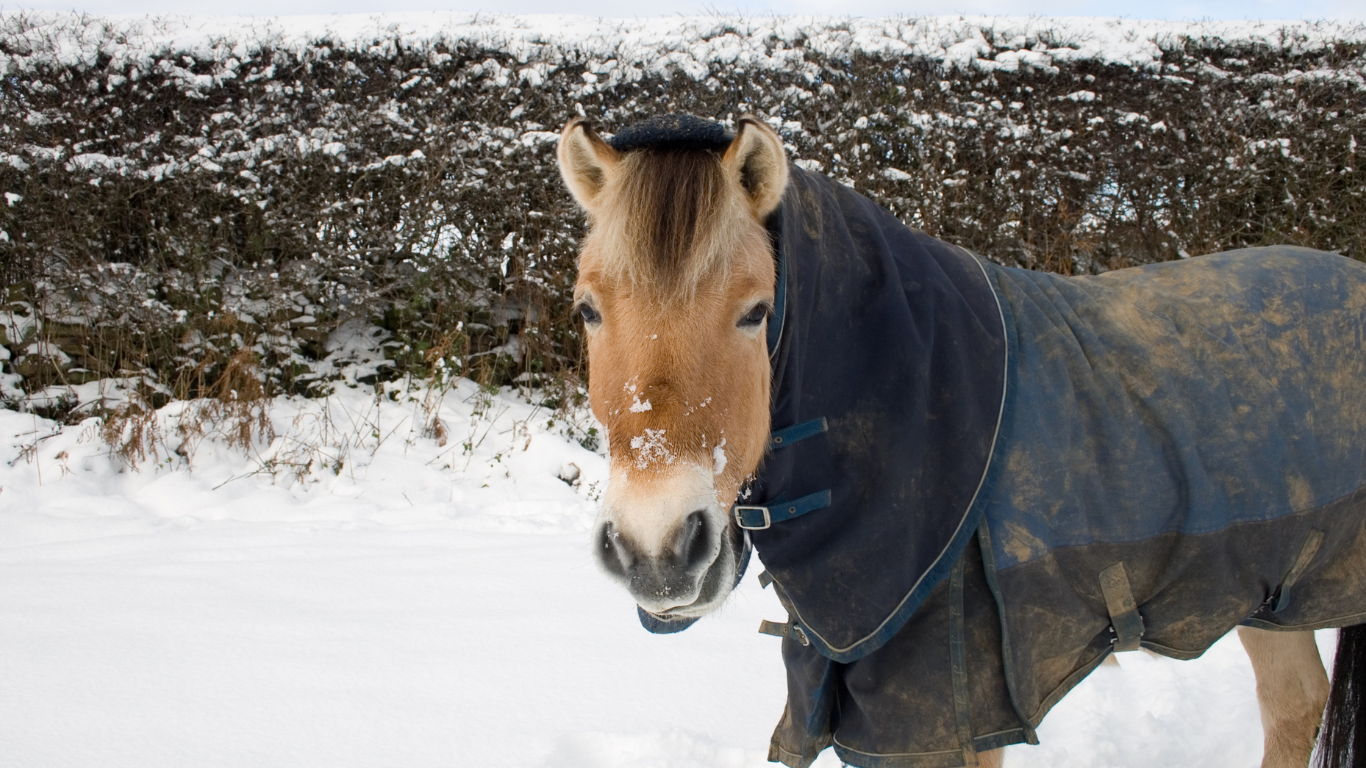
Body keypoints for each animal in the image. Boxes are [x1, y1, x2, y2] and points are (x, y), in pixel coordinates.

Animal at [551, 113, 1366, 765]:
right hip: (1265, 594)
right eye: (588, 309)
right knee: (1295, 704)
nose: (656, 551)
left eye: (756, 312)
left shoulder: (952, 718)